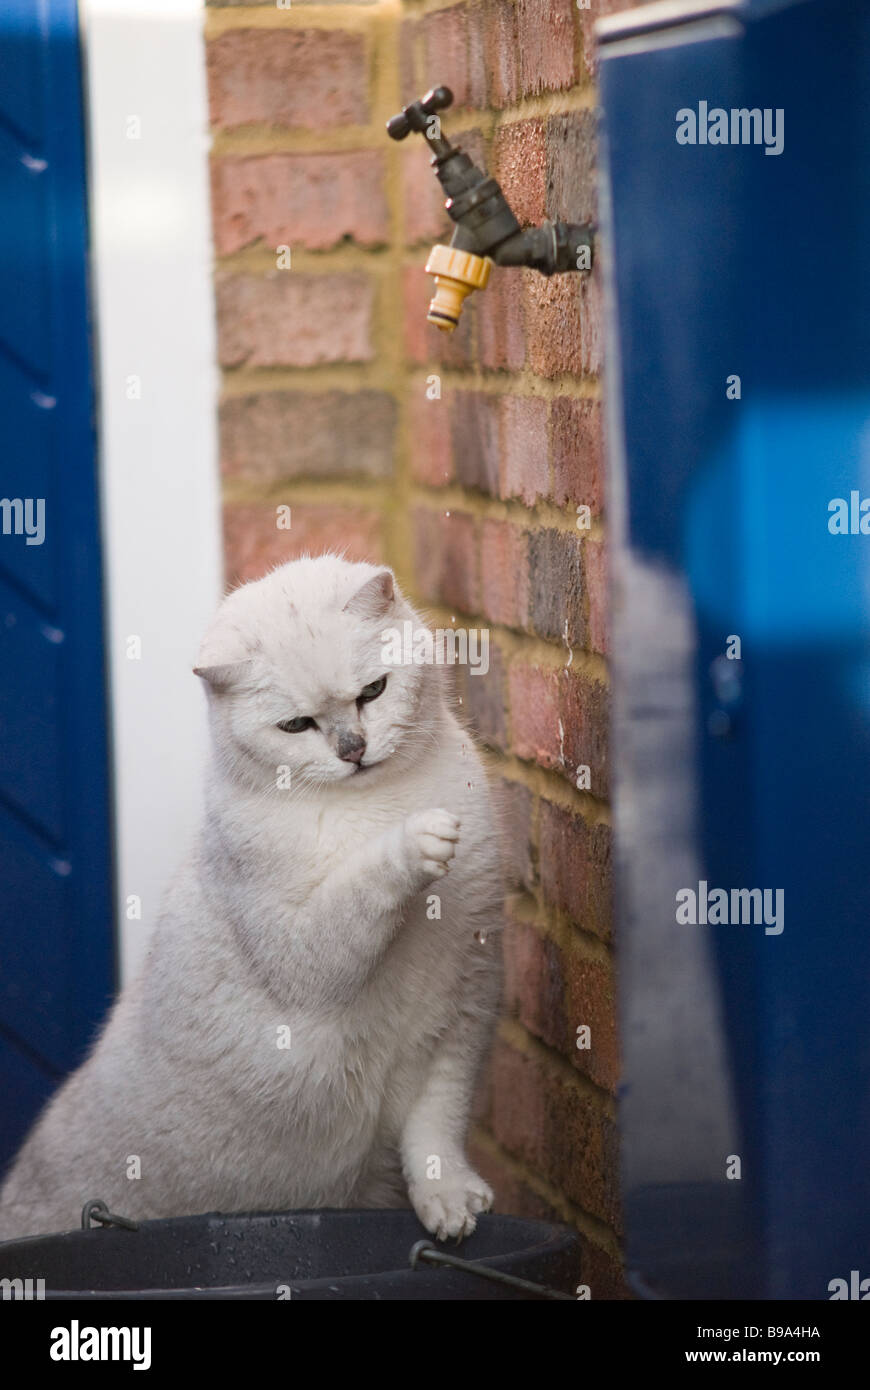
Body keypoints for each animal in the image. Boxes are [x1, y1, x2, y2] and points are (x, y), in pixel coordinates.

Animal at [0, 558, 500, 1245]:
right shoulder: (303, 955)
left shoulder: (461, 1013)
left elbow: (436, 1131)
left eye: (373, 692)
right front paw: (418, 840)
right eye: (296, 726)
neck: (375, 804)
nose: (352, 750)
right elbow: (362, 885)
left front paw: (448, 1205)